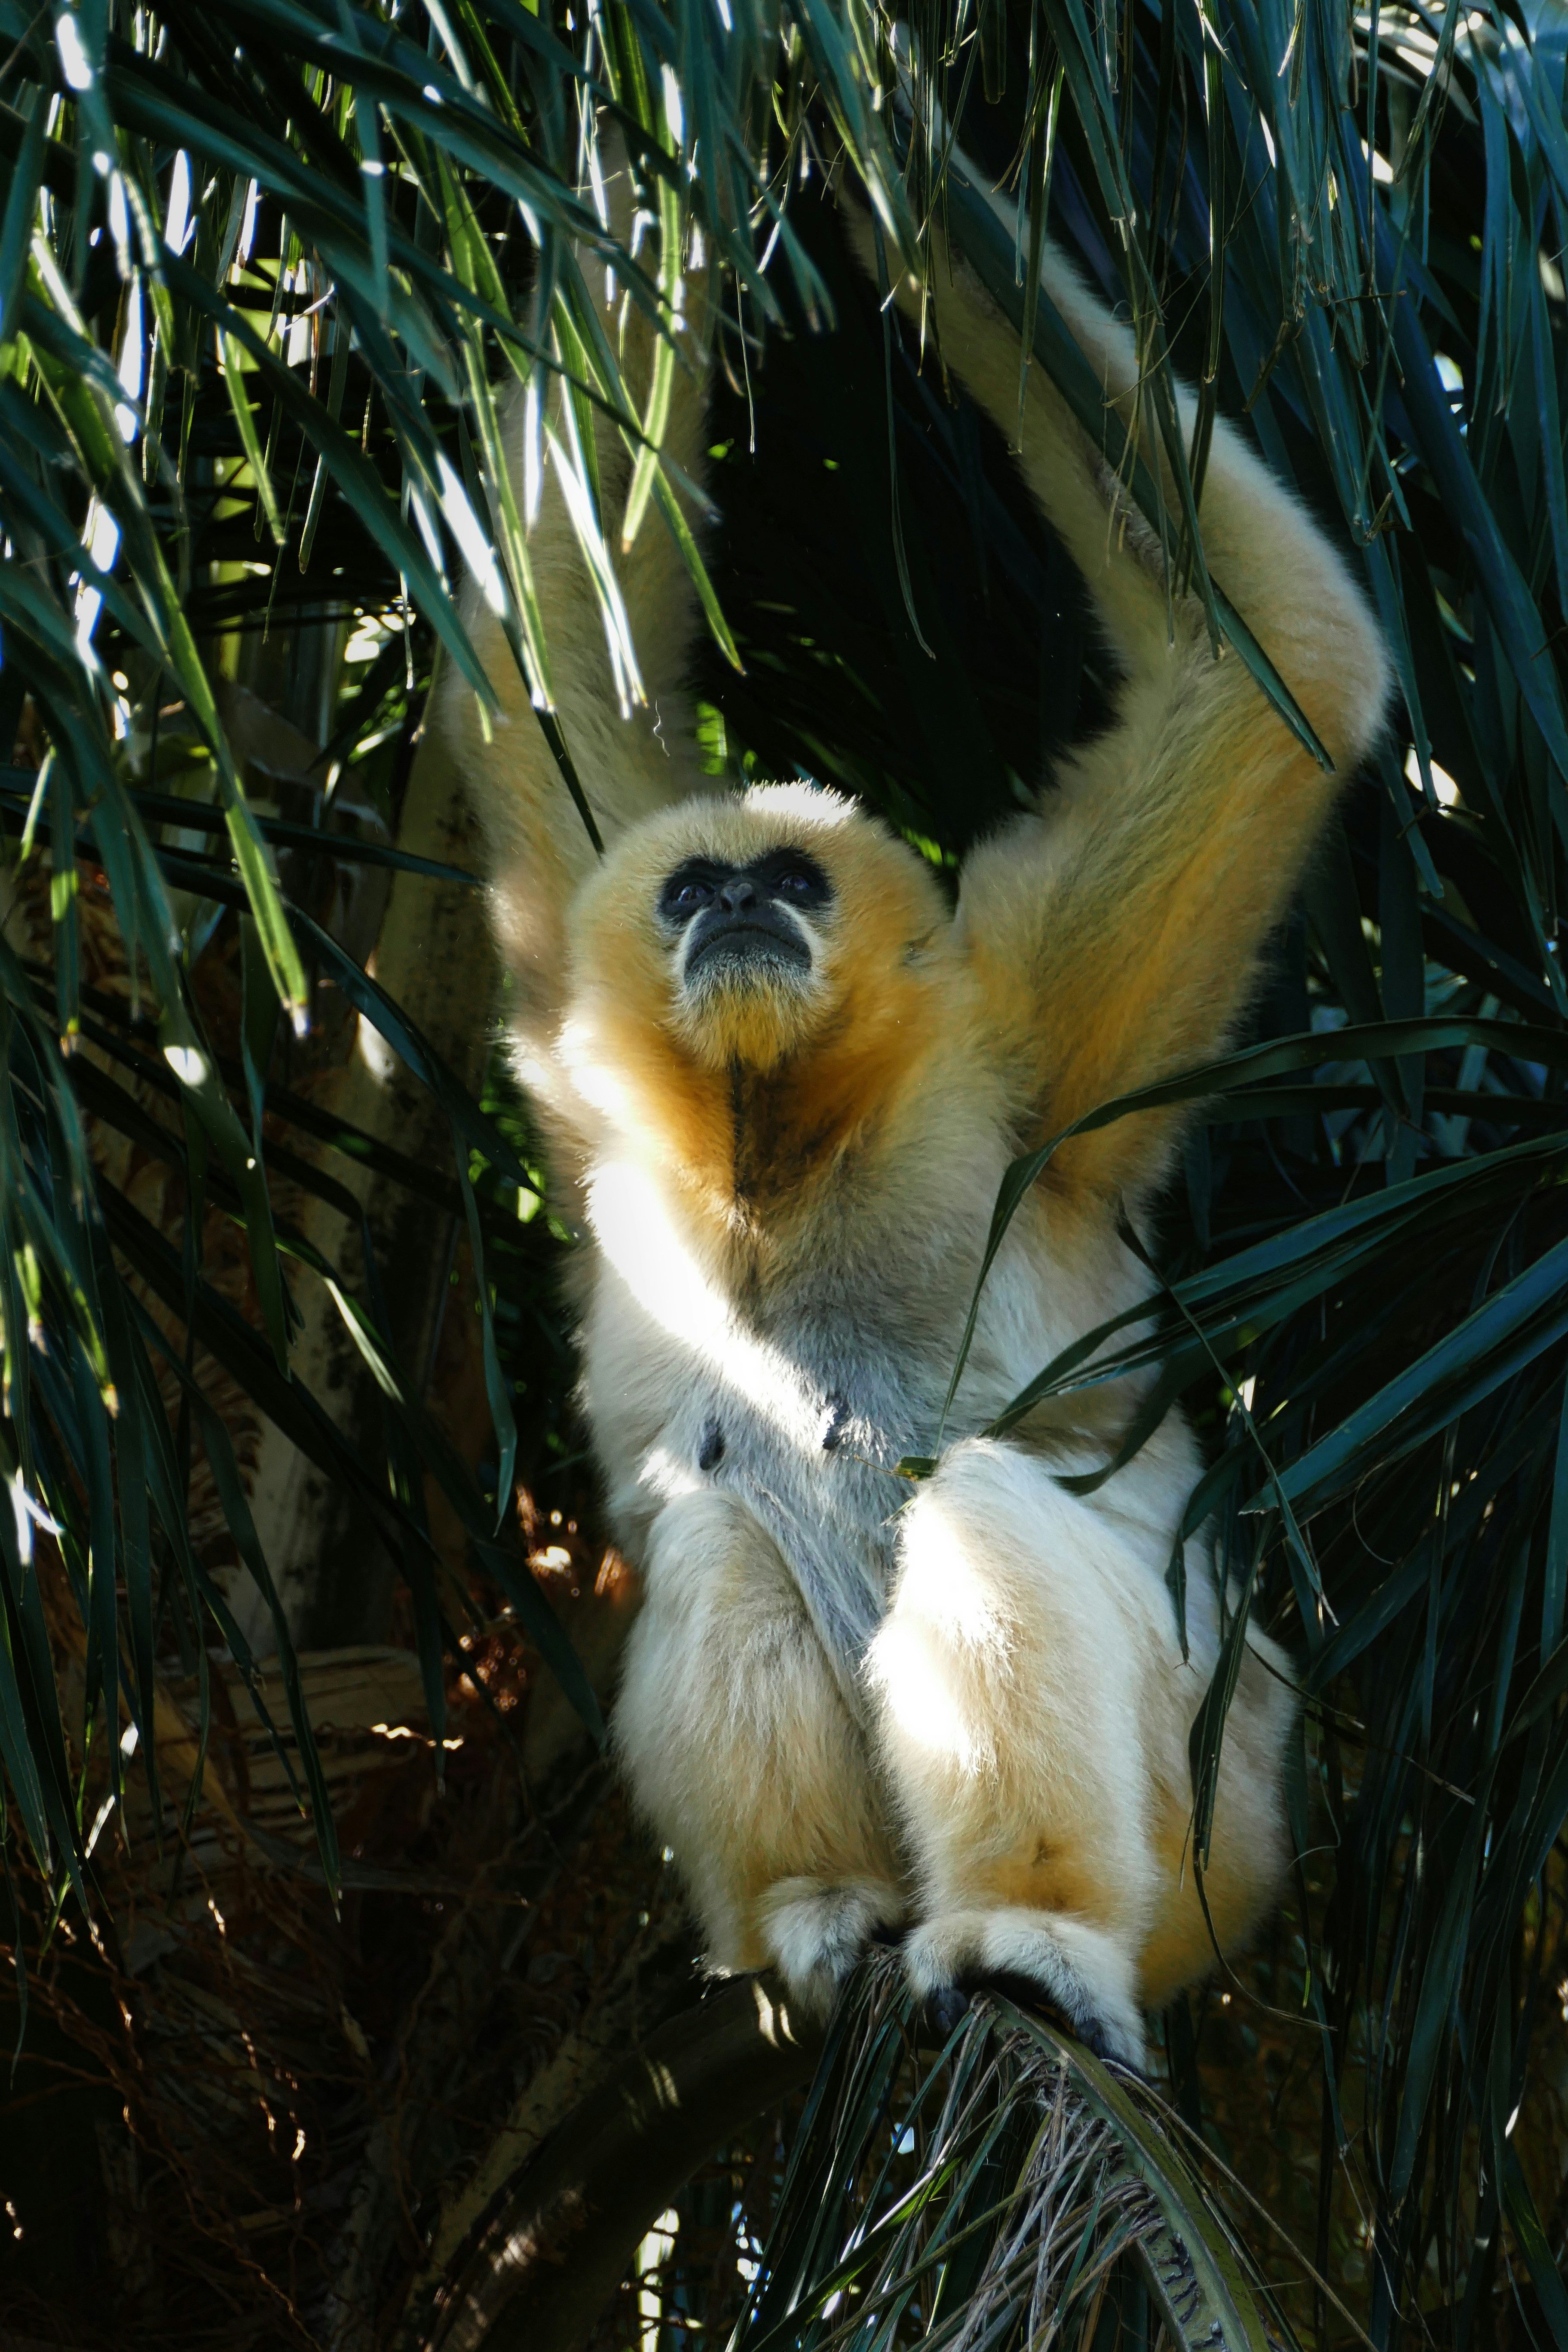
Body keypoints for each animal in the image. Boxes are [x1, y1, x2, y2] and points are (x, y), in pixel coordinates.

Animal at [435, 141, 1389, 2067]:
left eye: (793, 881)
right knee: (718, 1517)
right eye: (689, 888)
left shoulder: (1028, 1054)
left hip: (1225, 1814)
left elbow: (1279, 675)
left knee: (979, 1494)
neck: (783, 1163)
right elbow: (540, 659)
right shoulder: (582, 1066)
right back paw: (820, 1910)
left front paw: (899, 163)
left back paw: (1034, 1930)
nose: (735, 911)